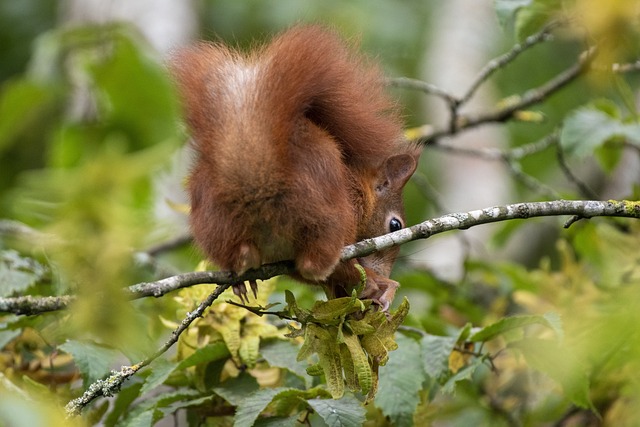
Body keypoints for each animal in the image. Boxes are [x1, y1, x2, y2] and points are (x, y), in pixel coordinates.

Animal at [171, 25, 420, 310]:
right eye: (395, 226)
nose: (385, 271)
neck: (358, 183)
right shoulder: (353, 205)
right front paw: (380, 284)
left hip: (214, 222)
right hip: (328, 216)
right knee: (316, 263)